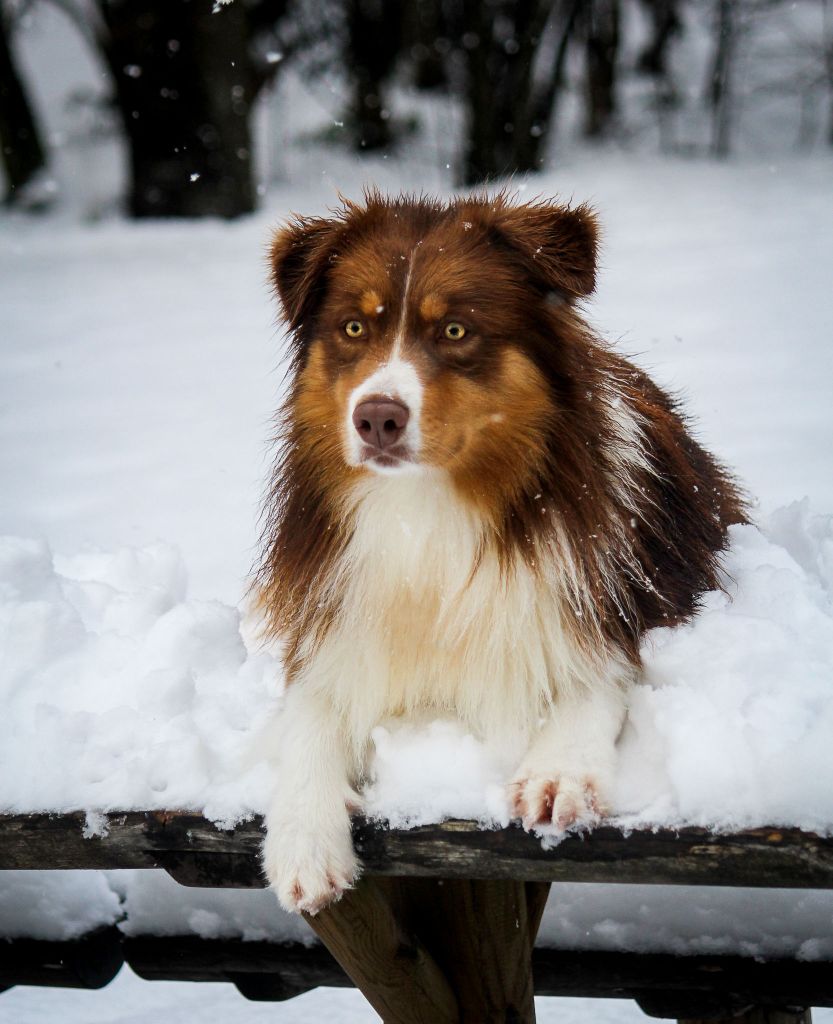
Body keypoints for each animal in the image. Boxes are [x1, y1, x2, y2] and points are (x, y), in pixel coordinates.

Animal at [257, 190, 745, 913]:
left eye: (456, 332)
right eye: (353, 329)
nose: (375, 418)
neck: (427, 511)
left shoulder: (618, 608)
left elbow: (596, 677)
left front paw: (558, 771)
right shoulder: (333, 631)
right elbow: (307, 721)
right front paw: (303, 840)